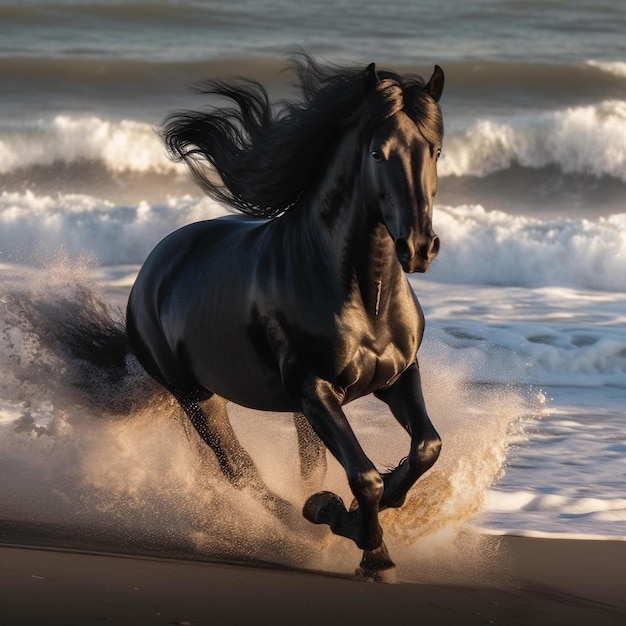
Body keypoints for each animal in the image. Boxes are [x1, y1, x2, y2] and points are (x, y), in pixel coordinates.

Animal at [127, 54, 442, 580]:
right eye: (377, 153)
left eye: (435, 150)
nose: (418, 246)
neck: (365, 295)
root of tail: (154, 265)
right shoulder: (312, 386)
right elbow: (364, 476)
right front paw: (365, 545)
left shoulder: (397, 377)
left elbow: (425, 449)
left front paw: (366, 517)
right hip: (197, 396)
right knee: (239, 470)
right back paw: (305, 522)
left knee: (295, 466)